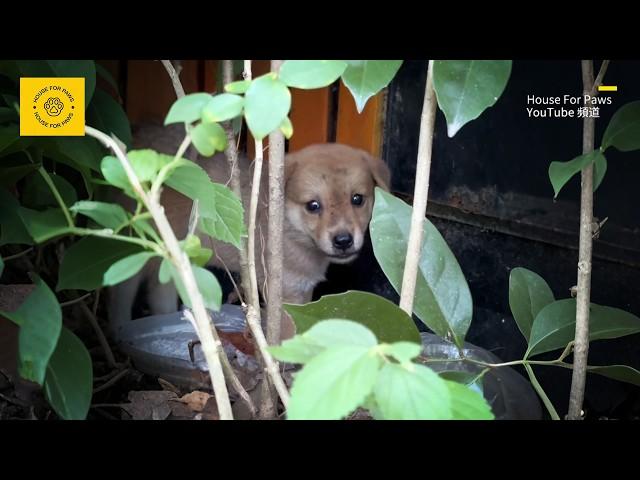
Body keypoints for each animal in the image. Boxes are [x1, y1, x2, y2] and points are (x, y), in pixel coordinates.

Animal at [106, 125, 390, 338]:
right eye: (313, 206)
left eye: (357, 199)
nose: (343, 240)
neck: (289, 232)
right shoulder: (283, 293)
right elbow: (286, 337)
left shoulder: (303, 290)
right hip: (133, 247)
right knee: (122, 290)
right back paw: (119, 330)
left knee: (159, 288)